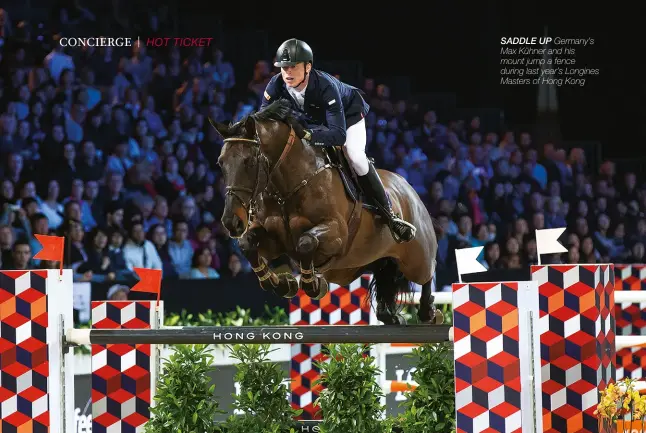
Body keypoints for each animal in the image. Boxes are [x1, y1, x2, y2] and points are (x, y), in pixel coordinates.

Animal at [213, 100, 446, 324]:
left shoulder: (336, 234)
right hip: (364, 263)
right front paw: (283, 283)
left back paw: (428, 312)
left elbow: (306, 242)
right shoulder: (275, 240)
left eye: (249, 162)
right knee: (385, 275)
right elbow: (247, 245)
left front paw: (313, 285)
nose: (232, 222)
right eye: (220, 163)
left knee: (428, 271)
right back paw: (389, 315)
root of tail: (410, 190)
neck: (287, 187)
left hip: (415, 257)